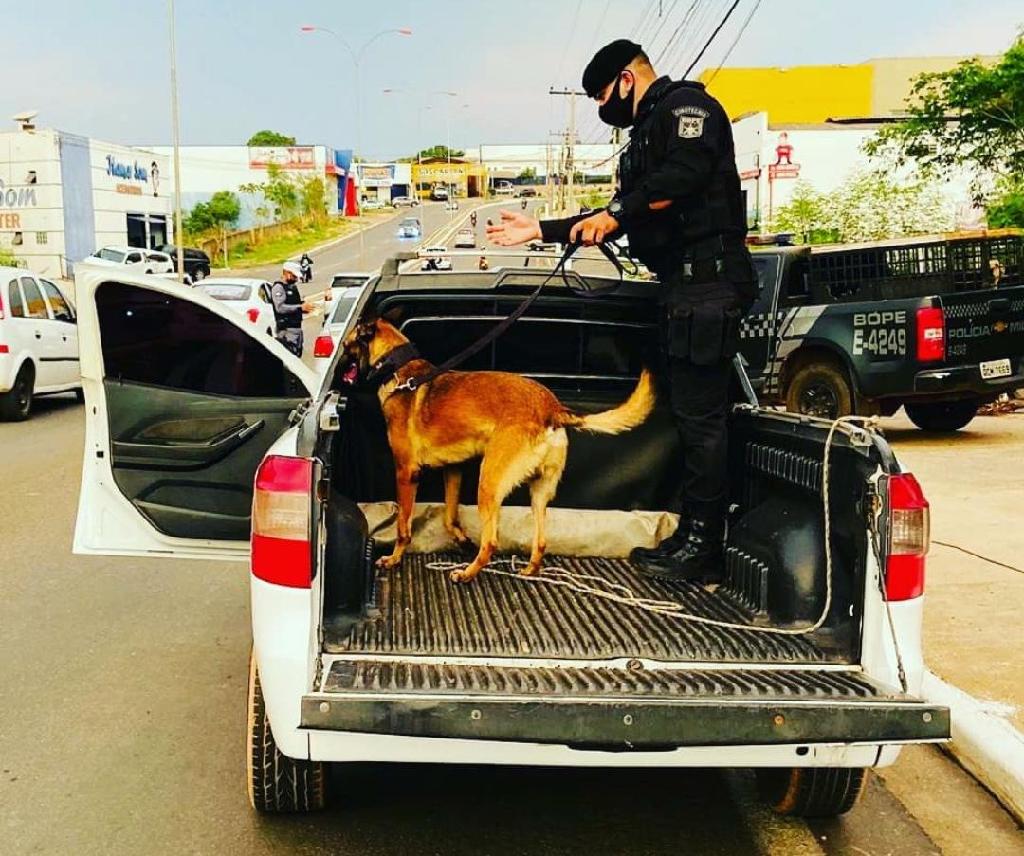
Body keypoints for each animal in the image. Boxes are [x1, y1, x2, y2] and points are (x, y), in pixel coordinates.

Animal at [339, 317, 651, 585]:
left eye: (347, 347)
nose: (340, 373)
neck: (399, 370)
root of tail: (552, 409)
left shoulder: (406, 472)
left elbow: (403, 526)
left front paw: (393, 559)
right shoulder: (453, 469)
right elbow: (449, 515)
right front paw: (461, 539)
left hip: (488, 483)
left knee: (491, 541)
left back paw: (467, 574)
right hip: (539, 491)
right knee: (540, 540)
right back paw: (528, 570)